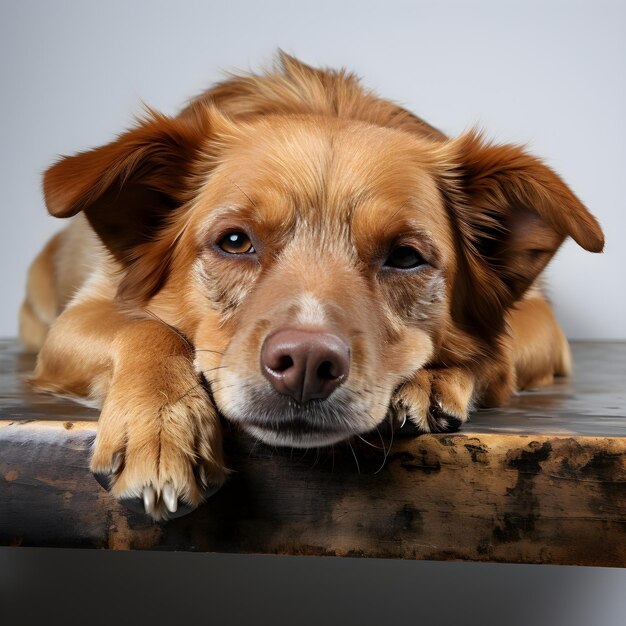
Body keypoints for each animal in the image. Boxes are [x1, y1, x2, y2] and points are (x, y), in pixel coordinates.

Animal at [22, 52, 604, 516]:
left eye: (405, 257)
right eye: (235, 241)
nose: (304, 364)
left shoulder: (540, 319)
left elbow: (496, 352)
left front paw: (434, 376)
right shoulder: (84, 312)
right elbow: (145, 328)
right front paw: (162, 428)